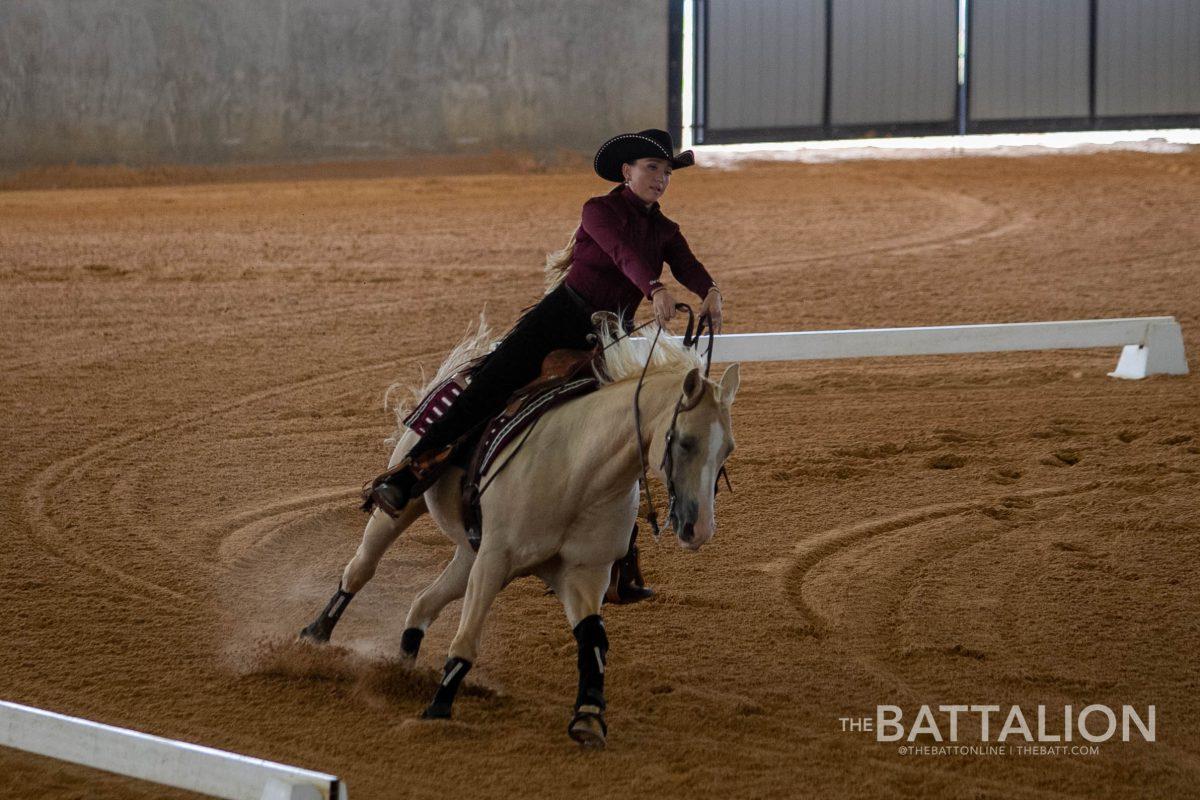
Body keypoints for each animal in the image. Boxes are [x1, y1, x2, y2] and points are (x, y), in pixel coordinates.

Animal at [297, 316, 739, 748]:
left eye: (728, 449)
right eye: (685, 441)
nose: (700, 529)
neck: (578, 470)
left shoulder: (582, 573)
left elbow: (592, 637)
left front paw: (589, 716)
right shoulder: (495, 560)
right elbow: (467, 637)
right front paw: (438, 710)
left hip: (469, 553)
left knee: (423, 603)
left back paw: (401, 671)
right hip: (403, 509)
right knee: (361, 569)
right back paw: (315, 635)